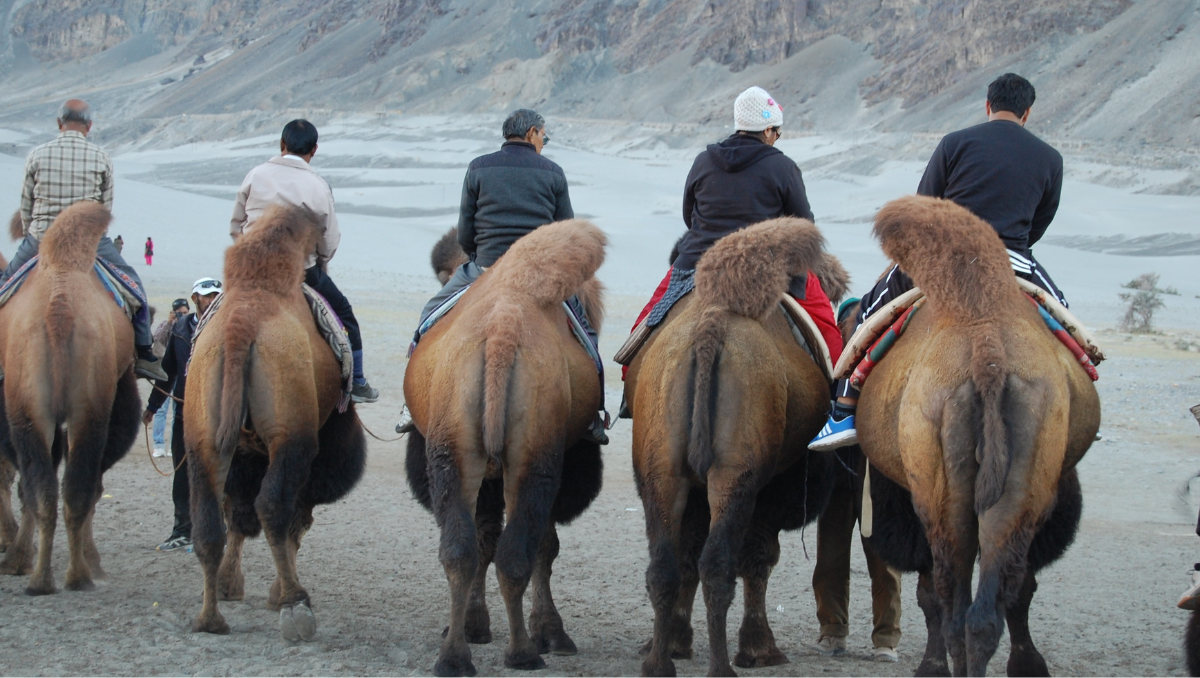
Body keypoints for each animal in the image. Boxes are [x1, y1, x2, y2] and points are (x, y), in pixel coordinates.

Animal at [0, 202, 140, 592]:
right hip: (83, 411)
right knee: (67, 488)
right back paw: (70, 575)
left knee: (46, 488)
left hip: (33, 411)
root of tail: (58, 308)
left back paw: (45, 575)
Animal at [186, 205, 364, 638]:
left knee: (210, 520)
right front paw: (276, 594)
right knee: (274, 508)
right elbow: (291, 518)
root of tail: (241, 327)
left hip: (203, 437)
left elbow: (238, 516)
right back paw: (296, 607)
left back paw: (210, 618)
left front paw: (231, 585)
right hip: (291, 435)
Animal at [405, 219, 609, 672]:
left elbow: (494, 543)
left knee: (466, 551)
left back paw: (459, 657)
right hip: (527, 461)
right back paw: (520, 651)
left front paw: (478, 626)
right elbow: (536, 546)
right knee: (509, 551)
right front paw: (548, 632)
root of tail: (503, 329)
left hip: (459, 453)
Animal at [628, 218, 844, 676]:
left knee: (665, 565)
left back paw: (658, 663)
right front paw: (760, 649)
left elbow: (688, 554)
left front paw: (678, 640)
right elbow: (759, 557)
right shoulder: (772, 489)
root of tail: (709, 331)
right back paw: (722, 666)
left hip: (663, 472)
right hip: (735, 477)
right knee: (719, 564)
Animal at [854, 193, 1099, 672]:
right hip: (1021, 486)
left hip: (942, 502)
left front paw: (929, 669)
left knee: (955, 608)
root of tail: (988, 349)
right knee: (986, 609)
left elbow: (930, 593)